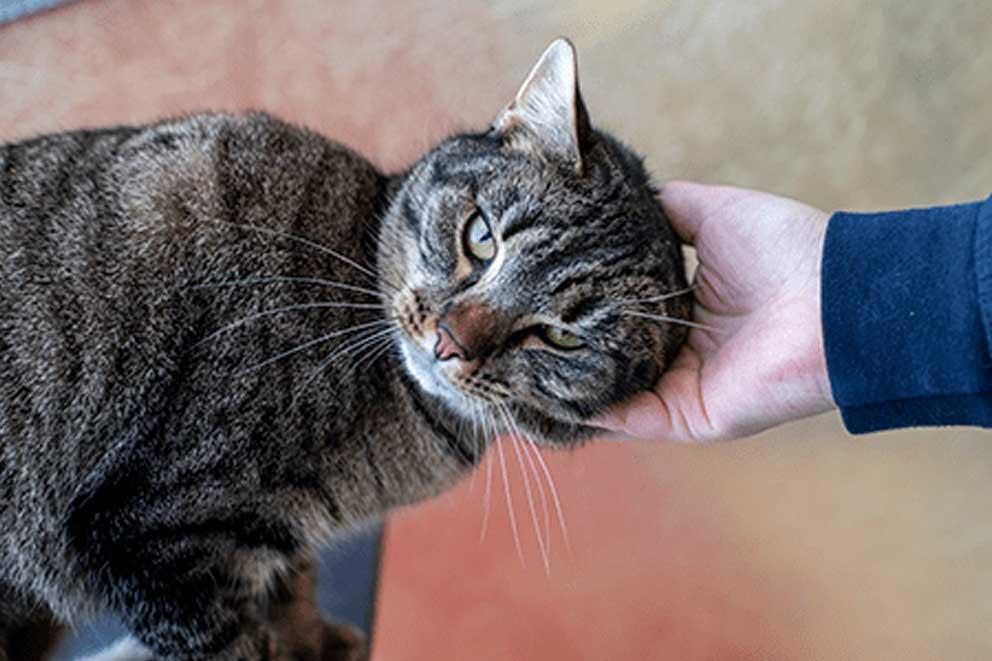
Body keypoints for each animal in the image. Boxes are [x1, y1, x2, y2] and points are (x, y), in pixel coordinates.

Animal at [0, 38, 688, 656]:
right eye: (482, 238)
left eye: (562, 336)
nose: (449, 342)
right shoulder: (156, 543)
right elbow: (239, 645)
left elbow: (292, 588)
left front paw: (314, 640)